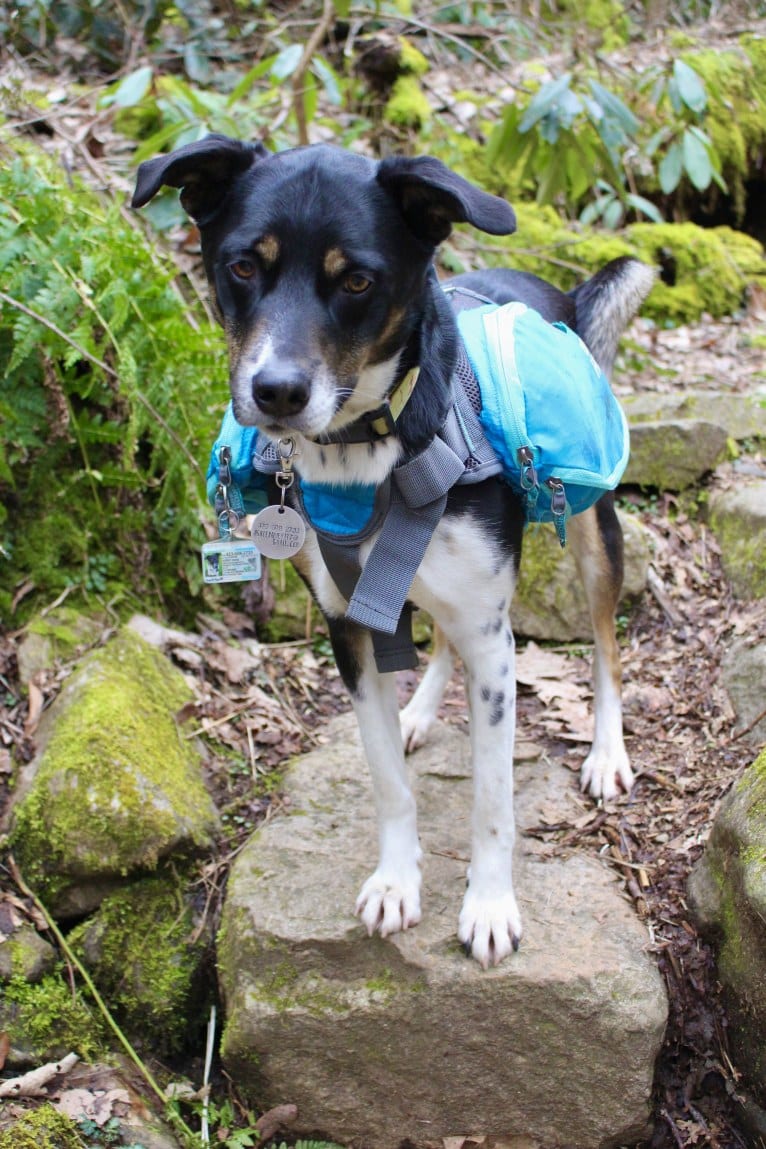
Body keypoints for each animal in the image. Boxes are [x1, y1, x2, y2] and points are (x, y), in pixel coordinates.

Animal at [133, 134, 652, 965]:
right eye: (242, 266)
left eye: (357, 280)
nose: (277, 391)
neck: (364, 446)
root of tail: (559, 294)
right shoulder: (349, 626)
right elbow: (385, 778)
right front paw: (396, 880)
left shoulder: (493, 636)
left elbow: (492, 799)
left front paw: (489, 905)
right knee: (440, 638)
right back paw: (420, 709)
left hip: (593, 529)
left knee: (604, 641)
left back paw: (606, 752)